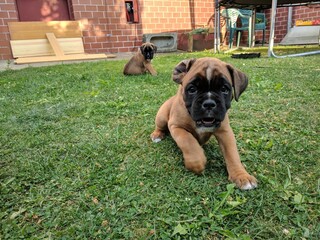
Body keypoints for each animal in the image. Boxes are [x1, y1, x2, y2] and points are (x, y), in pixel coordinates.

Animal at [150, 57, 258, 189]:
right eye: (192, 89)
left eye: (224, 89)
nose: (209, 103)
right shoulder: (176, 127)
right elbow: (188, 141)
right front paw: (197, 163)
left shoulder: (225, 132)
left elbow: (232, 154)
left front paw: (242, 176)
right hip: (161, 117)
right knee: (160, 126)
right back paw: (157, 135)